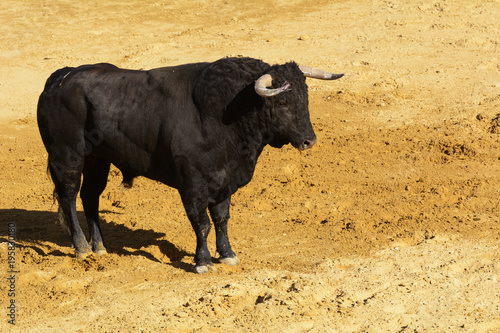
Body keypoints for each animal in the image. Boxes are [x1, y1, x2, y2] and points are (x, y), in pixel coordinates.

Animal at [36, 56, 344, 272]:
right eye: (281, 103)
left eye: (305, 98)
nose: (309, 141)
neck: (222, 114)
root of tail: (59, 78)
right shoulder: (192, 184)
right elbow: (202, 222)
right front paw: (203, 261)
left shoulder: (223, 180)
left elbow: (221, 218)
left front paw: (228, 254)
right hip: (68, 156)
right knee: (69, 196)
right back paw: (81, 248)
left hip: (99, 159)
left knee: (90, 196)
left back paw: (99, 247)